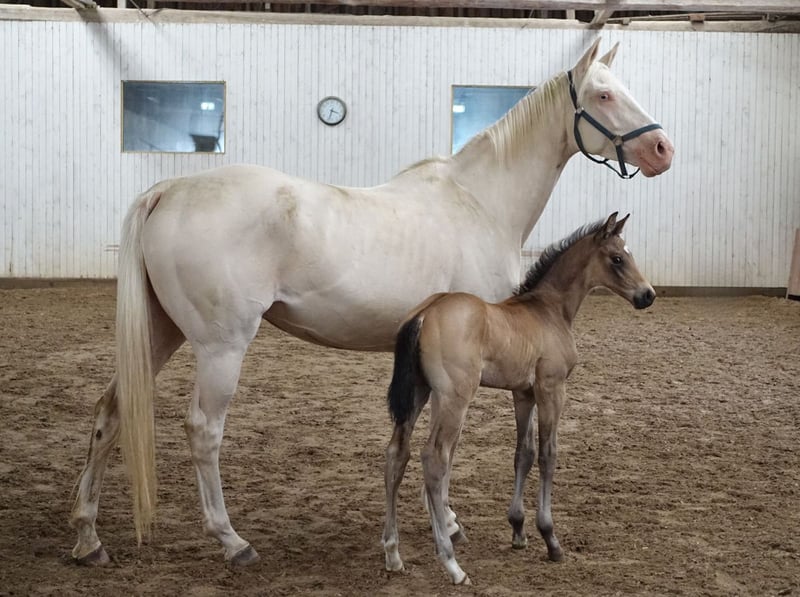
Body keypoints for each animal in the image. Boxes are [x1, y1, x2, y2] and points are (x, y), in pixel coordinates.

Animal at [382, 212, 654, 584]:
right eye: (616, 258)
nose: (647, 295)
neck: (549, 310)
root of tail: (424, 313)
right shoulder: (552, 388)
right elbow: (548, 454)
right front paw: (551, 539)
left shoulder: (523, 393)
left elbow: (522, 454)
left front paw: (518, 530)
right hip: (454, 397)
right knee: (434, 459)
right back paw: (452, 564)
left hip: (419, 393)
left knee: (398, 453)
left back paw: (393, 554)